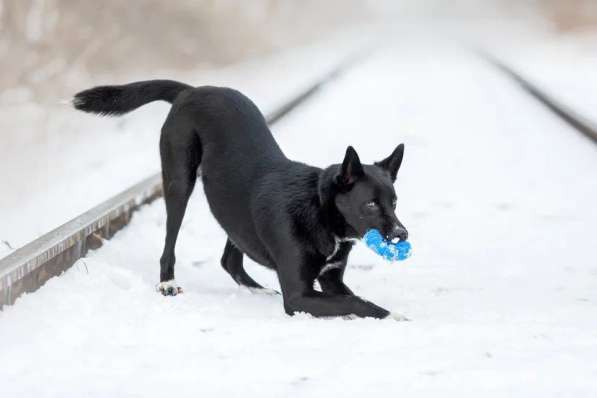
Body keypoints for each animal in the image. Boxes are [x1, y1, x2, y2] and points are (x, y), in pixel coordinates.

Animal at [73, 79, 406, 318]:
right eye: (370, 204)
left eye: (394, 203)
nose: (403, 234)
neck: (320, 211)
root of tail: (192, 91)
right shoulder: (298, 296)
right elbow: (355, 303)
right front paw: (395, 316)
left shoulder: (330, 280)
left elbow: (352, 297)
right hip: (179, 182)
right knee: (171, 242)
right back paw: (167, 282)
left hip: (234, 208)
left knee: (230, 260)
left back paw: (259, 291)